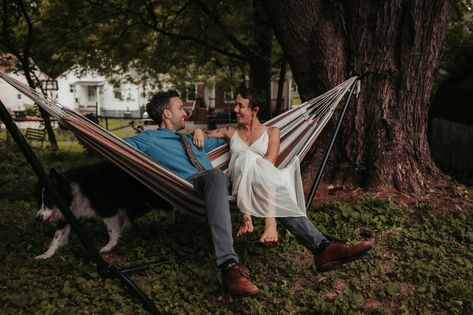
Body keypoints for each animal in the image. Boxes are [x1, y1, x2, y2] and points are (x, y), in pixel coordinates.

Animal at [35, 162, 172, 260]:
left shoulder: (107, 210)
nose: (38, 219)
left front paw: (109, 247)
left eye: (49, 201)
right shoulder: (68, 211)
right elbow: (56, 236)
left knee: (169, 207)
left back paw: (169, 223)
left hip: (152, 198)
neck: (72, 189)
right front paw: (47, 254)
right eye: (39, 201)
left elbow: (111, 230)